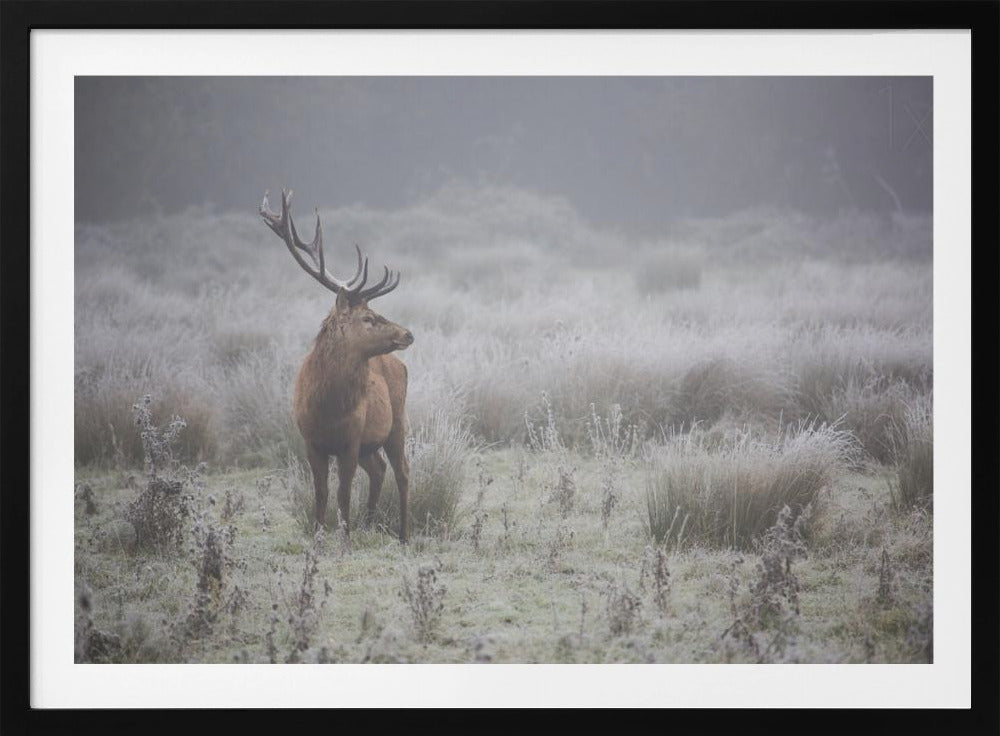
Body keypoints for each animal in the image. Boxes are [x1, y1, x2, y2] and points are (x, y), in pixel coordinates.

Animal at [259, 189, 414, 544]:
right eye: (368, 318)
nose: (407, 333)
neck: (327, 408)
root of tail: (400, 365)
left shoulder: (351, 440)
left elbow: (343, 493)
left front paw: (344, 539)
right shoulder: (311, 441)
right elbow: (321, 493)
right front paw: (319, 537)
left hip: (397, 421)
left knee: (402, 471)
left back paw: (403, 535)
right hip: (372, 442)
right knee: (379, 470)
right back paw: (369, 524)